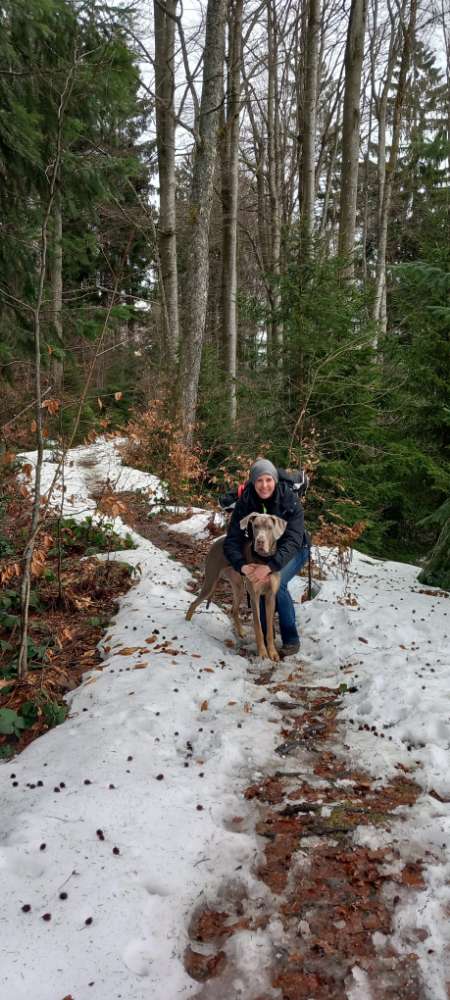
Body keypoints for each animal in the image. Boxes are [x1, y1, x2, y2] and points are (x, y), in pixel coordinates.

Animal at [185, 512, 286, 660]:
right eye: (255, 526)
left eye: (269, 527)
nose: (260, 542)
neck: (263, 560)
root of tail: (217, 542)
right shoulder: (254, 596)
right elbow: (258, 626)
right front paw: (262, 652)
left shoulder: (270, 596)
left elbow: (268, 629)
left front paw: (272, 652)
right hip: (211, 581)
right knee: (193, 603)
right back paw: (187, 624)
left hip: (239, 587)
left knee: (233, 609)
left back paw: (241, 631)